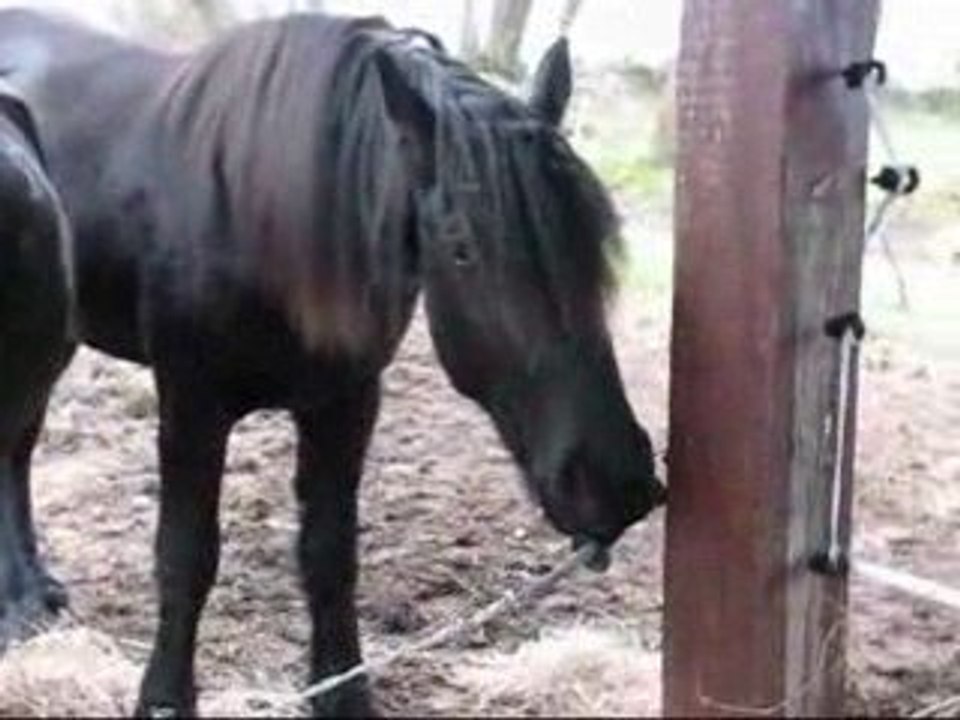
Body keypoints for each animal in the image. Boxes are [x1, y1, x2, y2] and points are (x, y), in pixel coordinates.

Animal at [0, 9, 666, 717]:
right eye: (461, 248)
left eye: (592, 239)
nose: (618, 481)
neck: (254, 212)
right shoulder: (191, 403)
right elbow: (186, 556)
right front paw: (164, 699)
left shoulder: (346, 401)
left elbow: (329, 555)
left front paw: (342, 691)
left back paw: (31, 590)